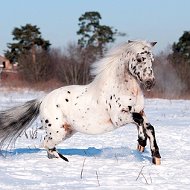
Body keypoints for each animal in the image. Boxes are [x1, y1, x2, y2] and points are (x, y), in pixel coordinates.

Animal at [0, 40, 161, 165]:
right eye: (139, 59)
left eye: (152, 60)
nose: (150, 82)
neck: (124, 89)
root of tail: (43, 100)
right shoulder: (119, 117)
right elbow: (139, 122)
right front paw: (143, 144)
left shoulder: (140, 111)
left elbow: (148, 127)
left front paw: (154, 155)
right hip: (57, 131)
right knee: (46, 144)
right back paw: (65, 160)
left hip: (66, 131)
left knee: (48, 146)